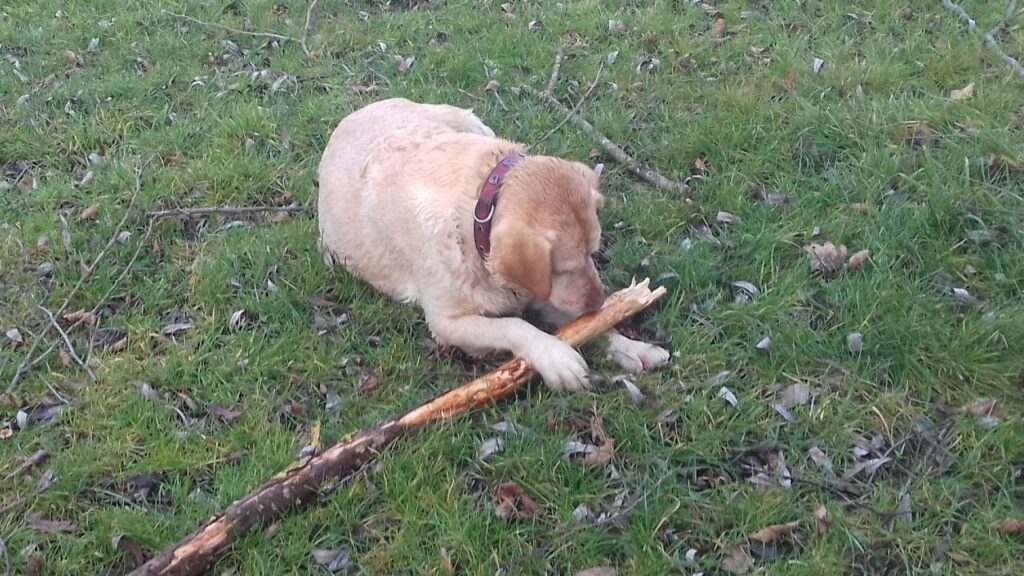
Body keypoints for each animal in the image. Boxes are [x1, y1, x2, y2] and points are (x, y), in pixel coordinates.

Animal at [319, 98, 671, 389]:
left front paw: (631, 346)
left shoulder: (541, 292)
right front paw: (555, 356)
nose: (598, 303)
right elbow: (513, 325)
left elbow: (586, 325)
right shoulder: (447, 323)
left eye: (593, 252)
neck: (479, 207)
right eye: (565, 267)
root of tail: (357, 111)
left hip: (471, 120)